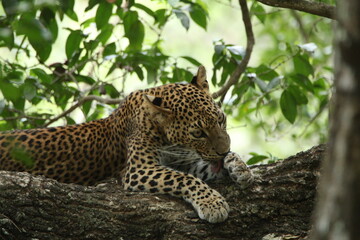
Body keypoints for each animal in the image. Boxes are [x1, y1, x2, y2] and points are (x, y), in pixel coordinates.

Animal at [0, 65, 253, 223]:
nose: (224, 150)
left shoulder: (181, 161)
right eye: (198, 133)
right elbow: (184, 179)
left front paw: (240, 167)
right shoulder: (138, 170)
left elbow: (200, 170)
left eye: (221, 119)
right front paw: (213, 203)